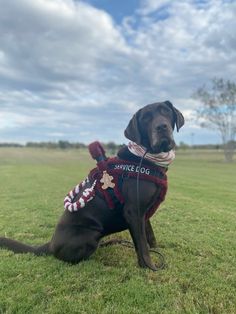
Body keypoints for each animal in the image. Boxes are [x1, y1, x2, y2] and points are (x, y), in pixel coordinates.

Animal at [0, 100, 184, 270]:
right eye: (146, 118)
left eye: (166, 111)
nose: (161, 127)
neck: (145, 158)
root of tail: (50, 245)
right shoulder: (133, 211)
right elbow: (142, 245)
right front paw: (149, 267)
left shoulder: (143, 213)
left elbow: (149, 237)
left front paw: (157, 251)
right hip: (89, 235)